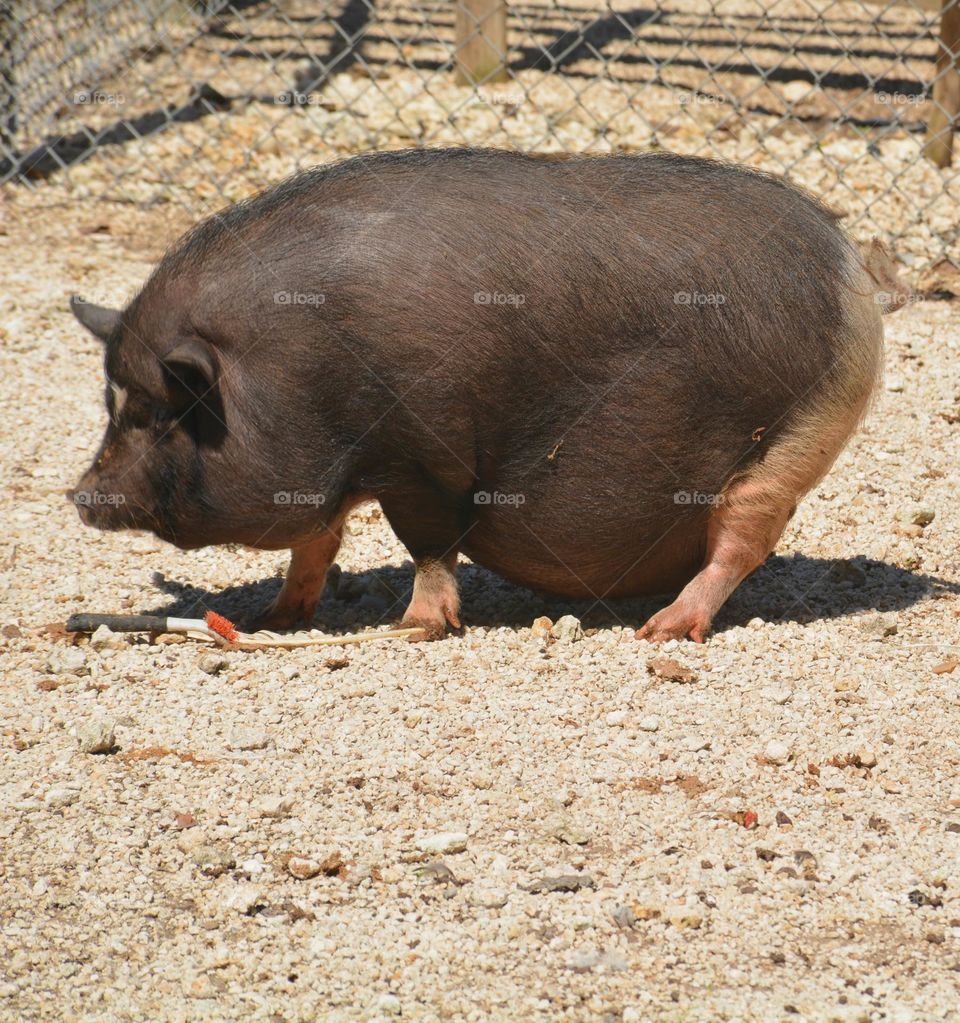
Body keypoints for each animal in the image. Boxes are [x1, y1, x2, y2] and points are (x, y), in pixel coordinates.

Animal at [69, 146, 896, 638]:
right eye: (112, 404)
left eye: (154, 412)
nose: (79, 494)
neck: (287, 366)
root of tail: (849, 267)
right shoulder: (340, 468)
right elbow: (316, 541)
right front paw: (277, 616)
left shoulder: (417, 458)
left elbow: (427, 544)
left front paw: (413, 627)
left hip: (788, 443)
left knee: (742, 539)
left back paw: (661, 629)